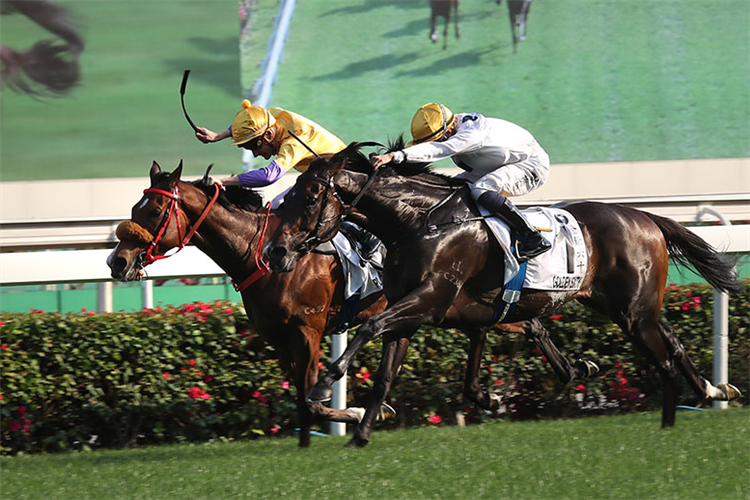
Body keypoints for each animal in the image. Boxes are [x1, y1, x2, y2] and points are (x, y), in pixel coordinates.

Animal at [108, 161, 390, 450]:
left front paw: (360, 412)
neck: (261, 255)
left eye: (155, 211)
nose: (117, 262)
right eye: (134, 209)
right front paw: (311, 439)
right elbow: (302, 399)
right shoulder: (279, 337)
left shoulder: (307, 331)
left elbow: (312, 400)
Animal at [266, 142, 748, 450]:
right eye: (287, 197)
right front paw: (362, 435)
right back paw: (708, 392)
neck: (420, 221)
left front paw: (324, 384)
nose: (276, 252)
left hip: (632, 312)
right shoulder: (425, 311)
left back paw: (673, 418)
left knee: (664, 357)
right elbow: (387, 372)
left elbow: (368, 326)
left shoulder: (430, 301)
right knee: (674, 343)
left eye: (309, 197)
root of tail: (647, 218)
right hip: (628, 307)